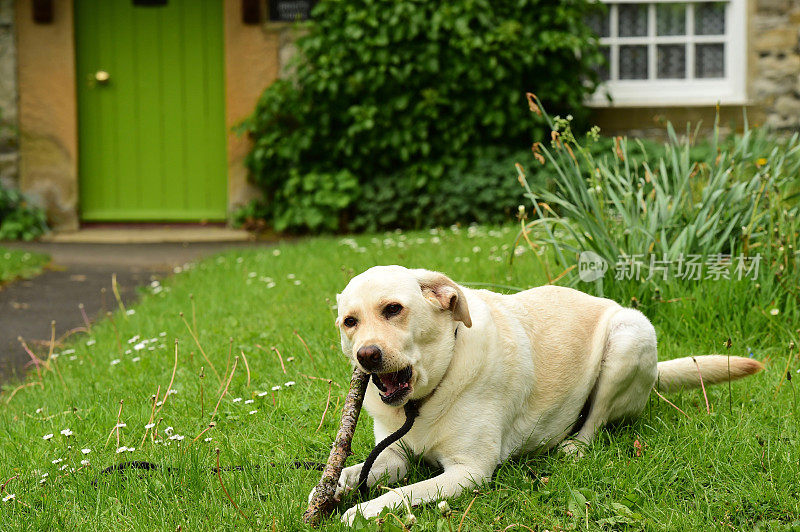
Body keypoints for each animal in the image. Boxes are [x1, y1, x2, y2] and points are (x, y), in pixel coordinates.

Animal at [324, 266, 764, 524]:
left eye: (393, 309)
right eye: (350, 322)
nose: (366, 355)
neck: (426, 397)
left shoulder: (469, 472)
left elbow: (404, 493)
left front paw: (362, 510)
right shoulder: (395, 456)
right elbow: (357, 471)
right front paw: (332, 487)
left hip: (628, 337)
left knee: (594, 420)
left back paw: (573, 446)